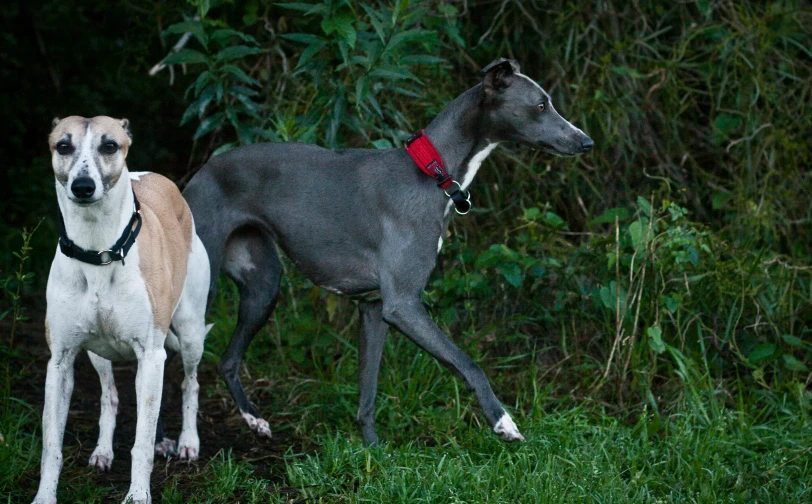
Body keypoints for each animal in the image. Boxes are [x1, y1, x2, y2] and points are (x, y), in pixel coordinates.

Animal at [34, 115, 213, 504]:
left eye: (109, 145)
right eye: (63, 146)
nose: (83, 187)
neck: (99, 249)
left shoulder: (151, 356)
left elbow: (143, 443)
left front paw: (138, 495)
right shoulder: (60, 361)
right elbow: (51, 444)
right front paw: (44, 496)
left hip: (191, 333)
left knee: (190, 384)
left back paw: (189, 442)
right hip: (98, 353)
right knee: (109, 396)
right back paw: (103, 450)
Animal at [181, 59, 592, 442]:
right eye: (541, 105)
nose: (586, 142)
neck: (431, 172)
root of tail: (196, 177)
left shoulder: (375, 307)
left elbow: (368, 391)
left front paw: (372, 452)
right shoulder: (403, 305)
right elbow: (468, 364)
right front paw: (503, 421)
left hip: (263, 285)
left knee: (228, 361)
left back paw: (254, 419)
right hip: (200, 290)